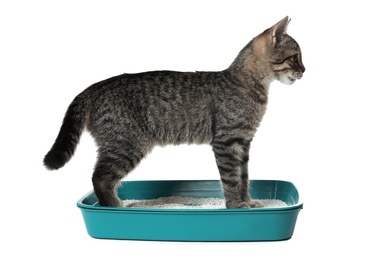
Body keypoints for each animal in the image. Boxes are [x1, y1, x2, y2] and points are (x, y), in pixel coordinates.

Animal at [42, 16, 304, 208]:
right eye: (295, 57)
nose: (304, 70)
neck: (246, 82)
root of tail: (94, 87)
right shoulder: (227, 141)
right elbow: (231, 178)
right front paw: (235, 206)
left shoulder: (243, 142)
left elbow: (244, 177)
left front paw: (247, 201)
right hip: (126, 145)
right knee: (100, 178)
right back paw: (115, 206)